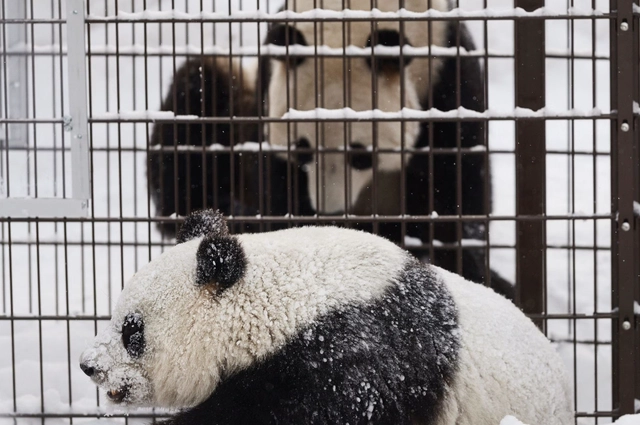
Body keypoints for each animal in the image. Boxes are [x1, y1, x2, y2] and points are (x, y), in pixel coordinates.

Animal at [146, 0, 516, 298]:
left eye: (361, 155)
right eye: (303, 151)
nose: (330, 212)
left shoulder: (446, 65)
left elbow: (457, 179)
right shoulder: (270, 79)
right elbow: (275, 186)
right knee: (199, 88)